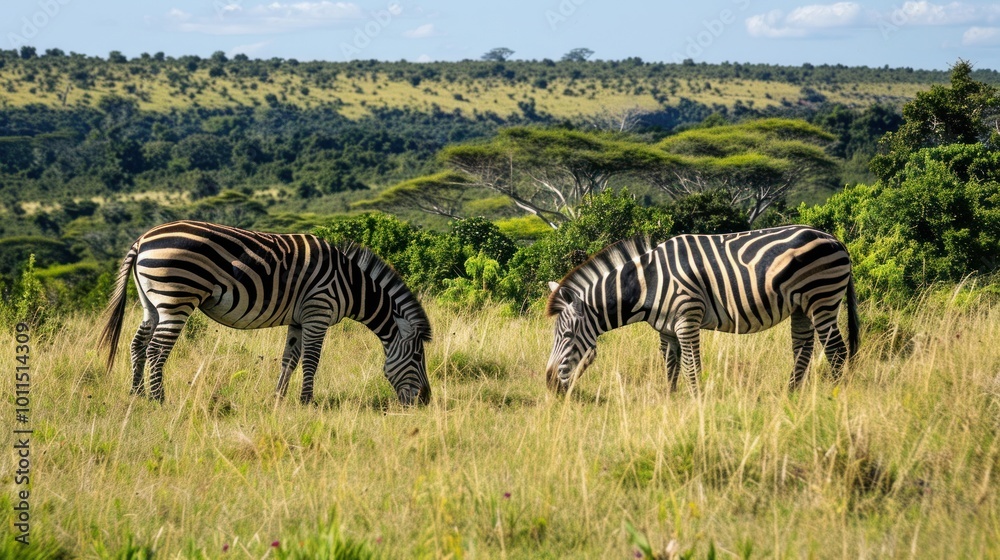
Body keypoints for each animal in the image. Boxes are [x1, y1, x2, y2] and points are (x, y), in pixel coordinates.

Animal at [99, 220, 432, 405]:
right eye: (418, 357)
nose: (426, 401)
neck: (350, 284)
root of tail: (142, 239)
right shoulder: (318, 311)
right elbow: (312, 360)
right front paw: (307, 402)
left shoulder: (299, 319)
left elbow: (290, 360)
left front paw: (279, 399)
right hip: (177, 297)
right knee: (157, 349)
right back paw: (159, 399)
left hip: (151, 302)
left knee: (138, 344)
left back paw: (137, 394)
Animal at [545, 225, 859, 393]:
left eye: (567, 336)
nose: (549, 383)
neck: (649, 284)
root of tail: (835, 239)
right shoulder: (667, 330)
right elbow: (670, 367)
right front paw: (670, 402)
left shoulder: (687, 319)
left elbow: (691, 367)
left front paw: (696, 404)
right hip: (801, 307)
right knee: (802, 351)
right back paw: (790, 395)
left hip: (822, 298)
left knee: (836, 351)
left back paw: (834, 395)